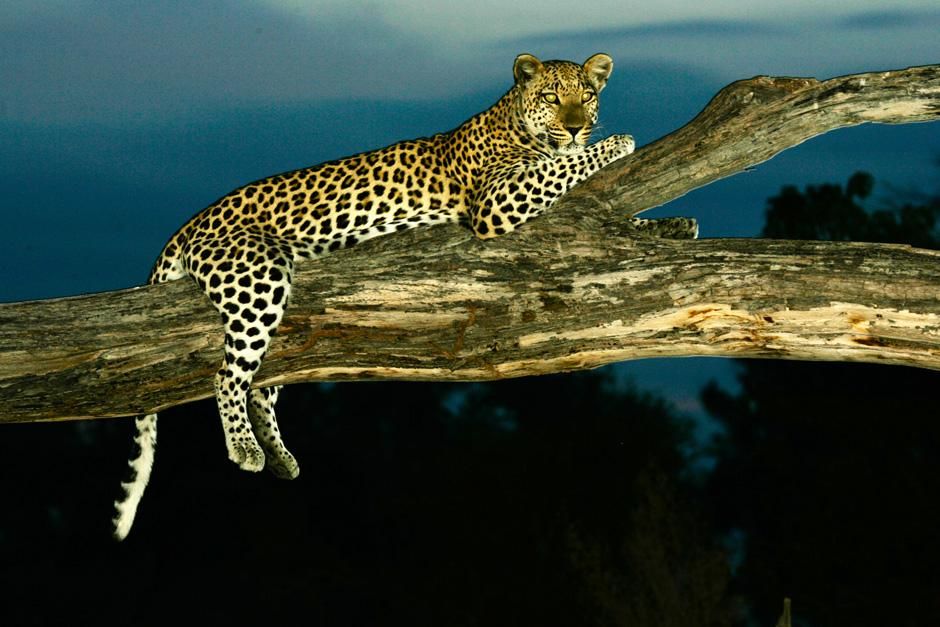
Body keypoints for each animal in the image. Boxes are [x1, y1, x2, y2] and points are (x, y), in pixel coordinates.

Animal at [110, 52, 696, 540]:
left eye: (588, 95)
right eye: (553, 97)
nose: (577, 125)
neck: (512, 120)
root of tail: (187, 226)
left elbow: (609, 215)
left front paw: (670, 225)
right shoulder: (498, 199)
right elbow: (562, 166)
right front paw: (616, 144)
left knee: (260, 382)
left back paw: (281, 457)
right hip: (258, 274)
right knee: (227, 375)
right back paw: (246, 450)